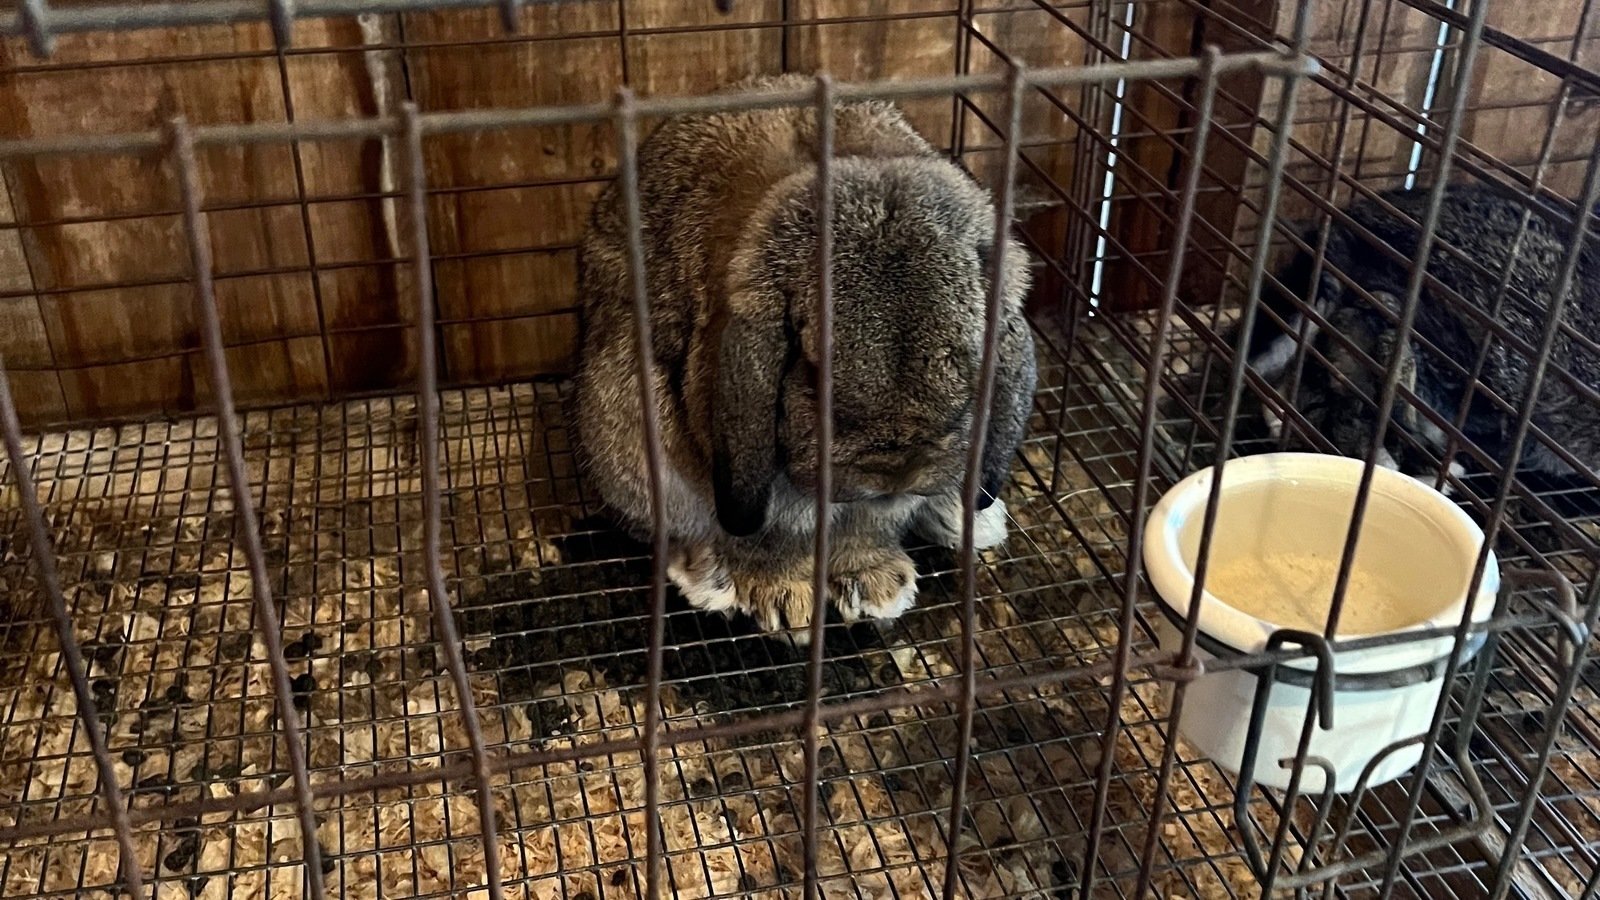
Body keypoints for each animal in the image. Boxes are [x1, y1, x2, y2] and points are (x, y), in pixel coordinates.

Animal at [571, 74, 1037, 639]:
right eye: (812, 369)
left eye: (973, 360)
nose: (896, 472)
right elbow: (772, 534)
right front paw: (785, 597)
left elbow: (864, 526)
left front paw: (872, 583)